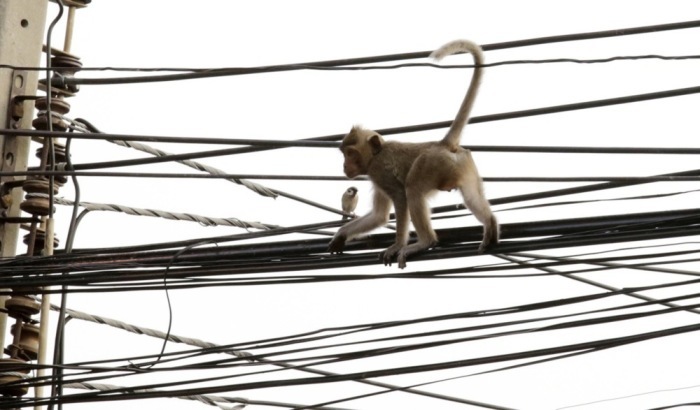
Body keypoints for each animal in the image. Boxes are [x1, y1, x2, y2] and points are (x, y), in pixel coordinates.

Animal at [328, 39, 498, 269]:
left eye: (351, 153)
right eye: (344, 154)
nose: (345, 166)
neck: (377, 153)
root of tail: (442, 144)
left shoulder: (379, 170)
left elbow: (400, 197)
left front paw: (397, 245)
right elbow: (379, 216)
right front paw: (341, 234)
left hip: (431, 163)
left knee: (413, 188)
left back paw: (425, 242)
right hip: (463, 164)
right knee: (471, 195)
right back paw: (491, 224)